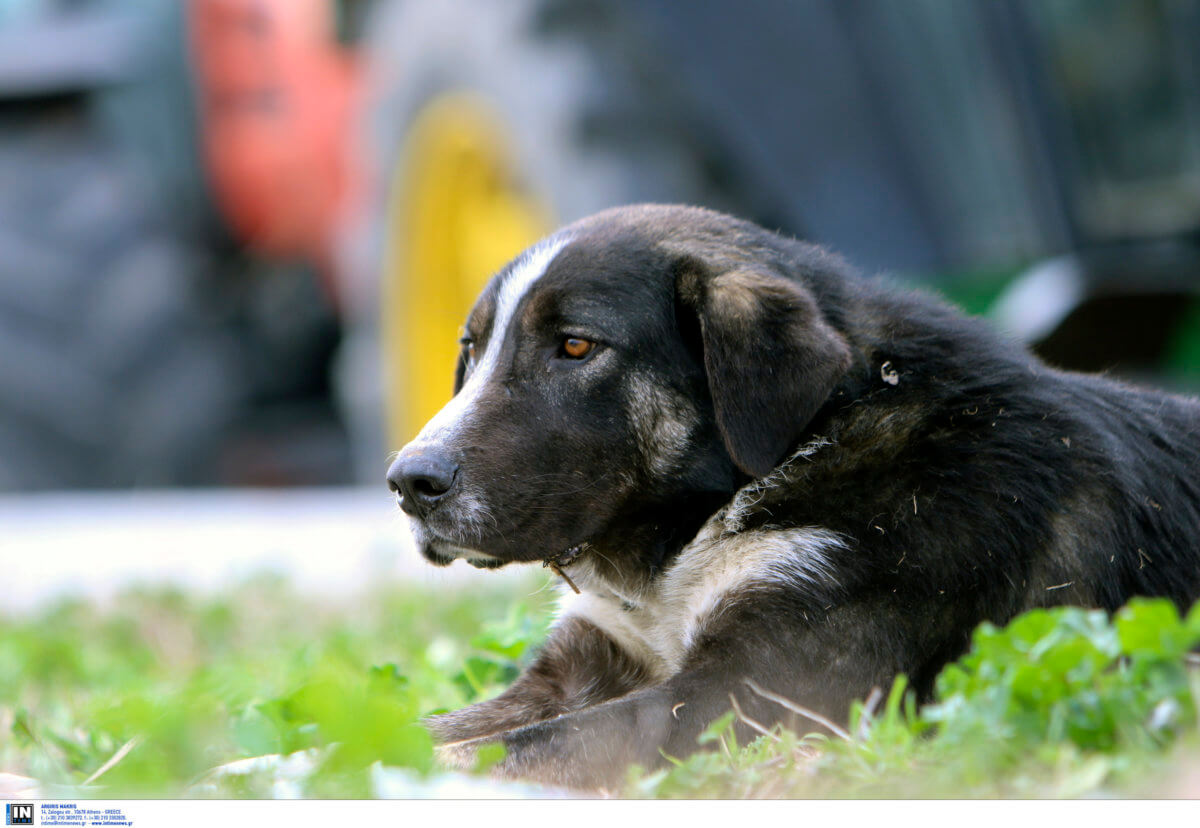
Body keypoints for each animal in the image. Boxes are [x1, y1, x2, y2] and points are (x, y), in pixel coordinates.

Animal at [384, 202, 1200, 782]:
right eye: (469, 350)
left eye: (576, 346)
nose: (407, 482)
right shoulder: (585, 664)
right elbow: (425, 729)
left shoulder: (751, 694)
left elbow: (500, 751)